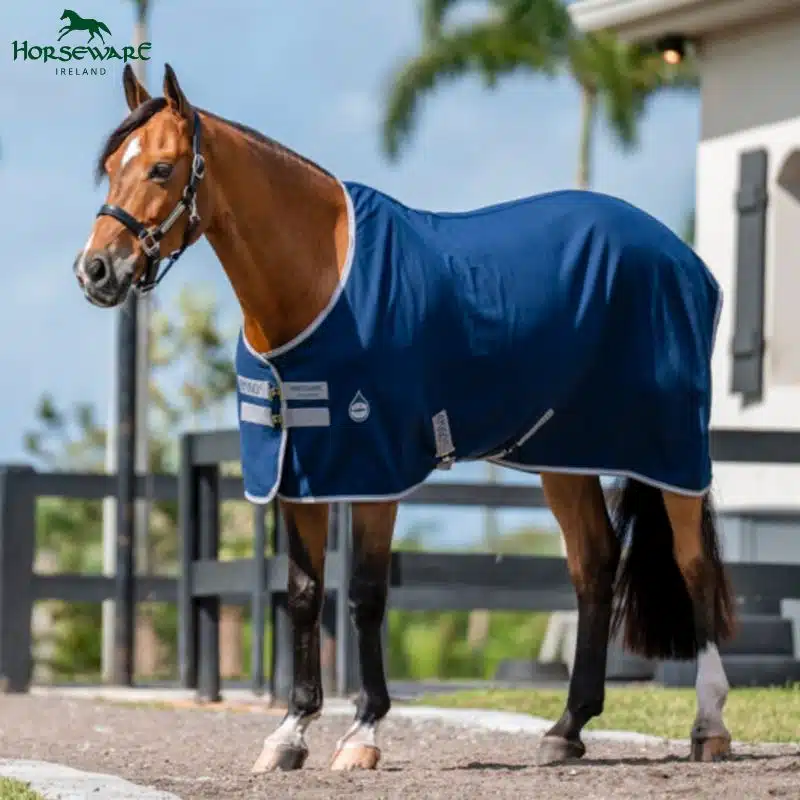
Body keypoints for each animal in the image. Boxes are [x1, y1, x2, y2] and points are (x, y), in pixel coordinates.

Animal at [73, 63, 736, 773]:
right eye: (110, 166)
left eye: (162, 168)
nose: (95, 271)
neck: (320, 279)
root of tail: (684, 259)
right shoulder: (298, 470)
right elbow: (303, 595)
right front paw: (290, 733)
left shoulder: (374, 470)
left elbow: (364, 594)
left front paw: (362, 732)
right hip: (563, 455)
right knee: (594, 564)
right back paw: (567, 727)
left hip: (671, 450)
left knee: (694, 565)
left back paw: (708, 726)